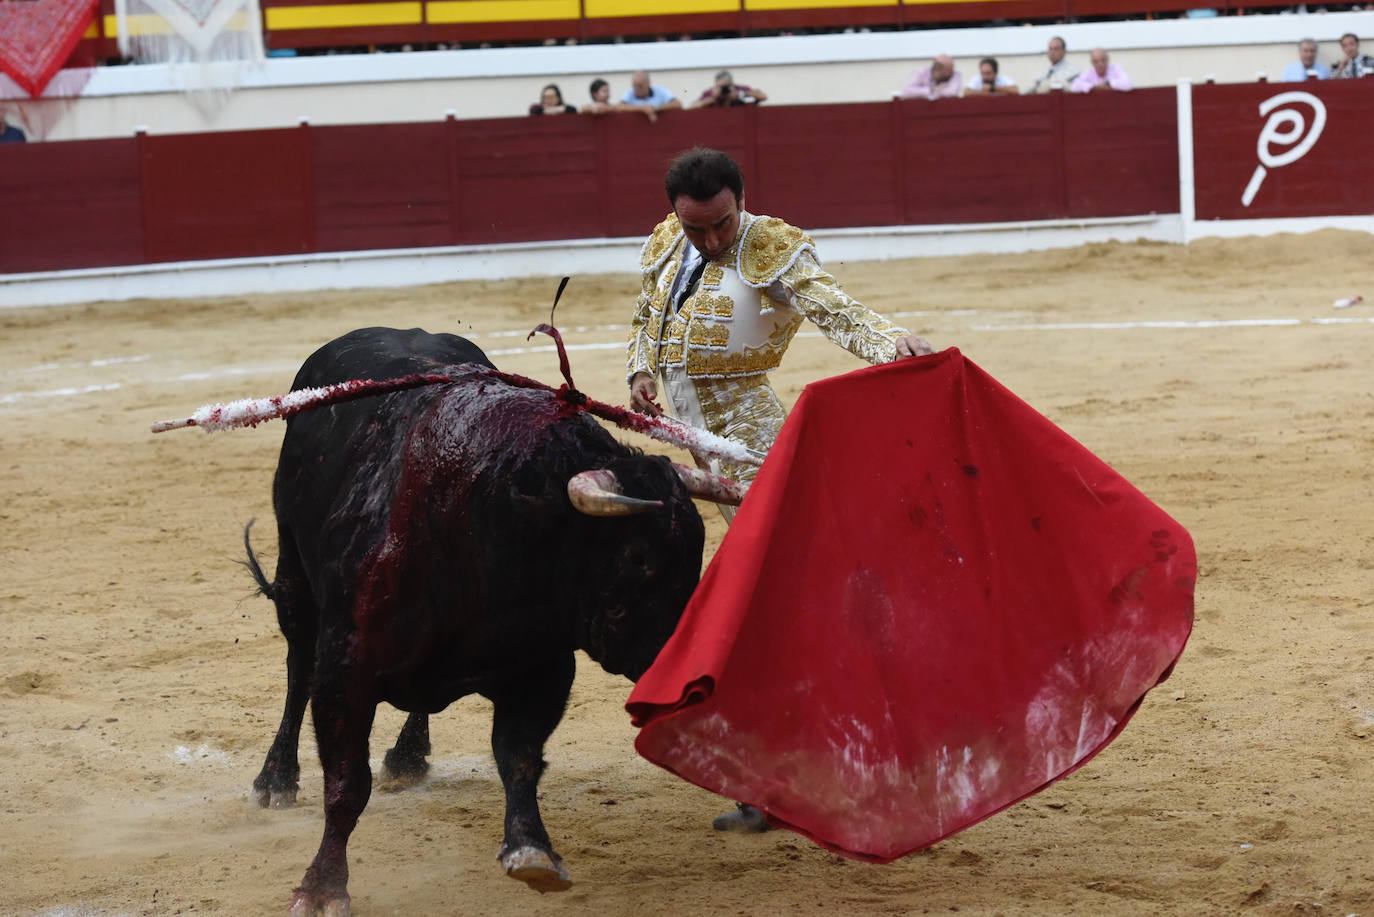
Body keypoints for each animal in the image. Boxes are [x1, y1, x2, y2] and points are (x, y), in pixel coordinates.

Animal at [241, 325, 736, 912]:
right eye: (639, 557)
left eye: (698, 551)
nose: (689, 671)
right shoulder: (347, 666)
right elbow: (346, 783)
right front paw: (321, 888)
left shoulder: (542, 668)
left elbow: (519, 758)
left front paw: (532, 850)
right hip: (293, 571)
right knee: (297, 668)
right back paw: (276, 778)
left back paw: (408, 756)